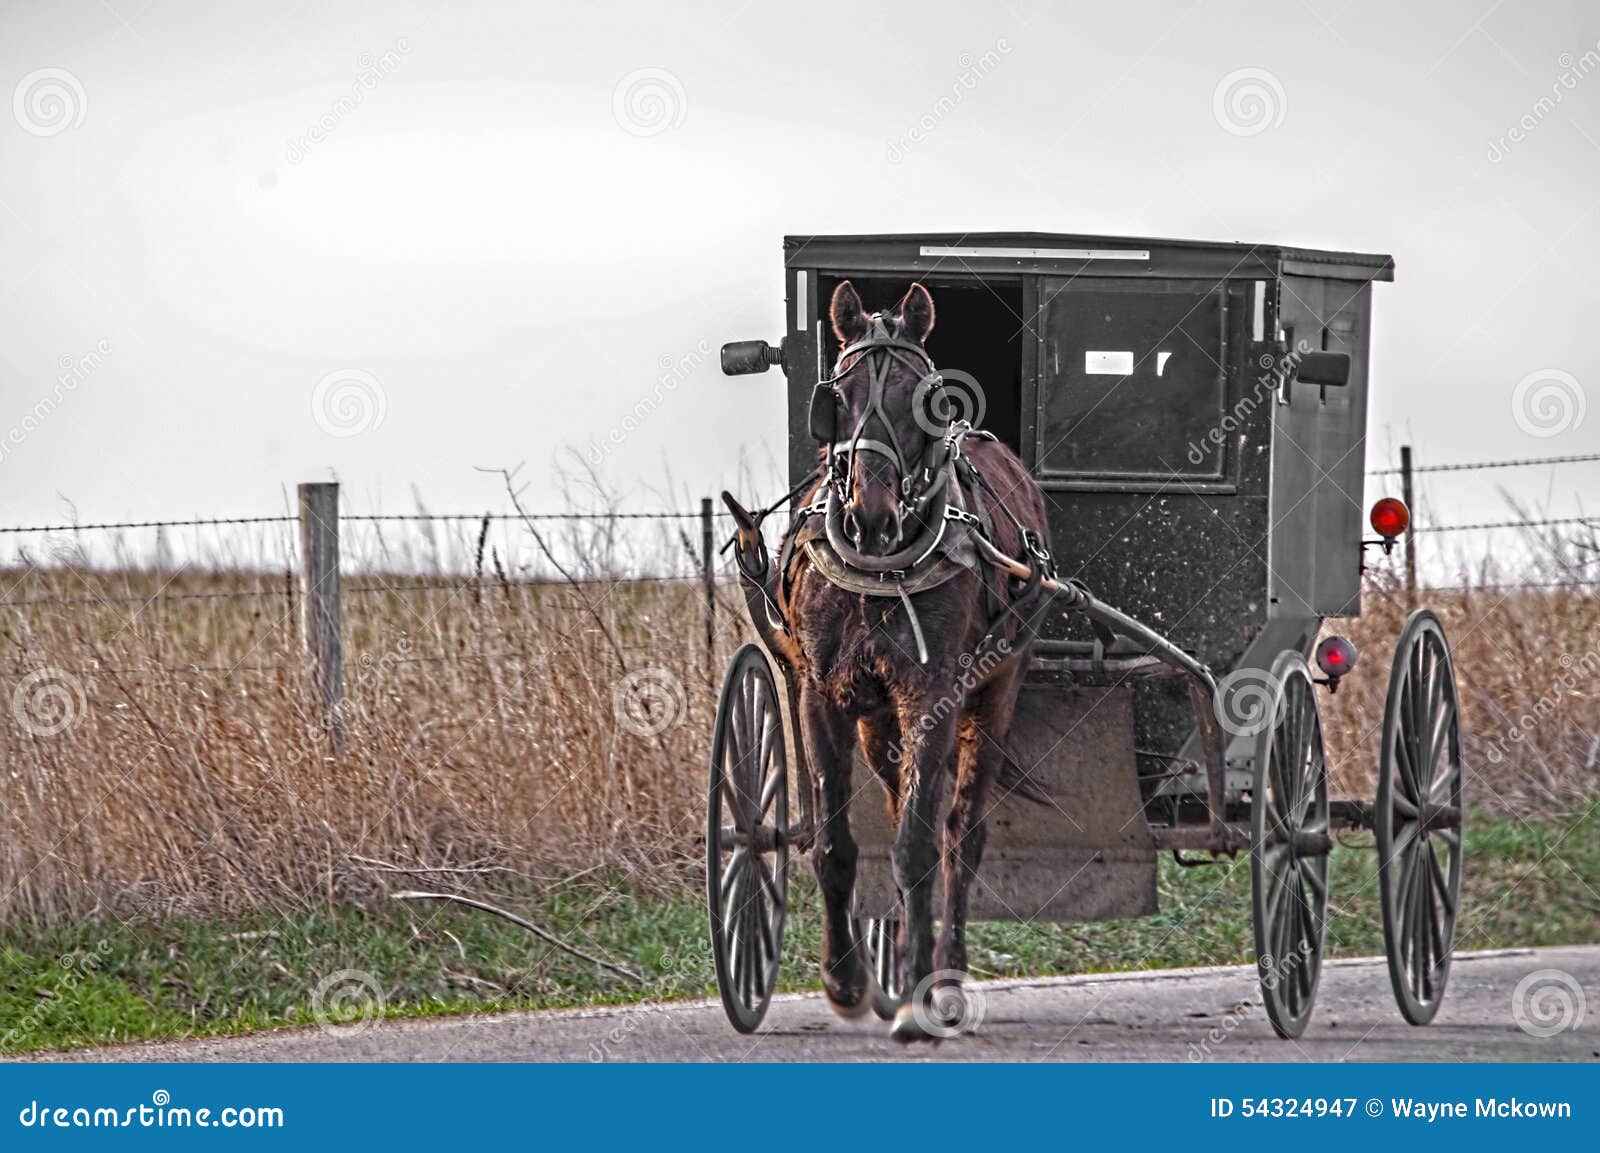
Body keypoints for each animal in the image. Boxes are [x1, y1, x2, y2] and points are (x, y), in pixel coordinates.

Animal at [776, 280, 1052, 1041]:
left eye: (922, 398)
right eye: (836, 394)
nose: (870, 515)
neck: (880, 566)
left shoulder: (933, 694)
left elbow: (918, 846)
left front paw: (922, 995)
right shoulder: (821, 694)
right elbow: (837, 847)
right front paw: (848, 982)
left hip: (998, 687)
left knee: (959, 832)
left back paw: (943, 976)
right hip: (879, 722)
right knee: (905, 802)